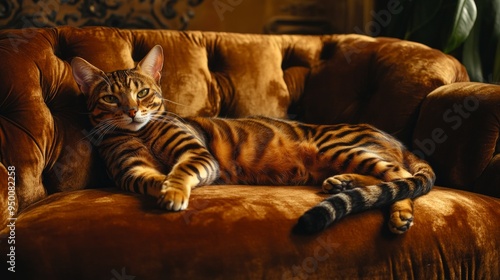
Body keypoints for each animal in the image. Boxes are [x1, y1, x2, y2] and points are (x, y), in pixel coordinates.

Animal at [70, 44, 434, 235]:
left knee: (403, 179)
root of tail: (398, 141)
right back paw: (343, 183)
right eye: (110, 99)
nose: (132, 111)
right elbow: (151, 178)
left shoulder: (196, 153)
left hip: (337, 148)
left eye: (142, 93)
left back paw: (399, 213)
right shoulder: (131, 171)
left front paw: (173, 191)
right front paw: (164, 188)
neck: (141, 132)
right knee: (388, 180)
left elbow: (178, 172)